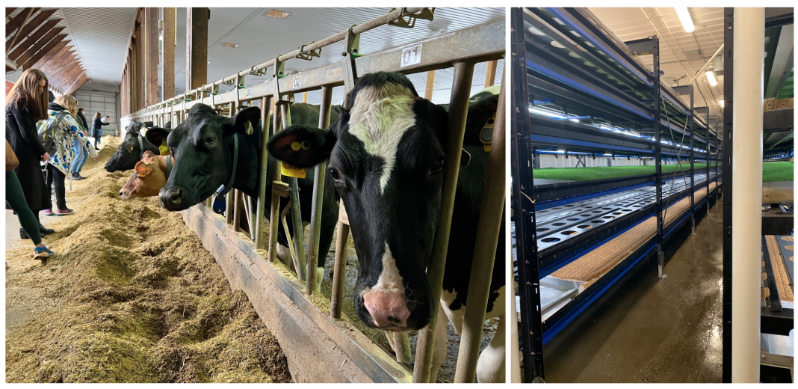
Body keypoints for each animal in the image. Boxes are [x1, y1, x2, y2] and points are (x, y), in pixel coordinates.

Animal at [158, 100, 342, 284]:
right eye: (171, 146)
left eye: (209, 139)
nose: (168, 196)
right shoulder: (278, 216)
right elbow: (284, 257)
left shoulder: (327, 215)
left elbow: (315, 275)